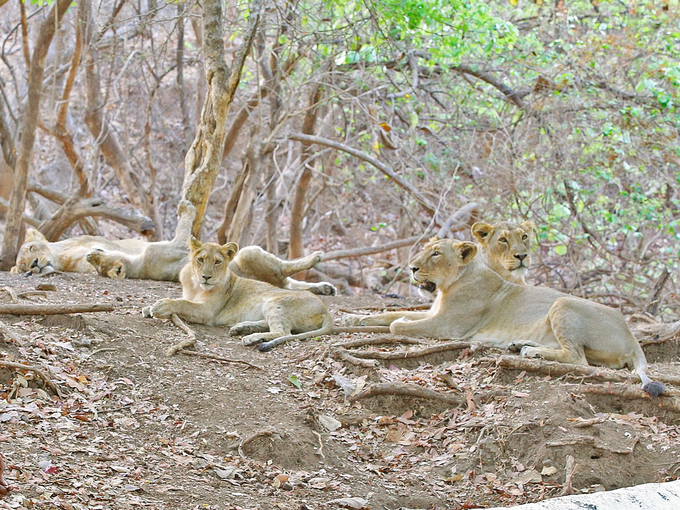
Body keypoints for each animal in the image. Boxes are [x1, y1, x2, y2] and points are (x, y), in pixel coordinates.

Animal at [145, 238, 334, 350]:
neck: (195, 284)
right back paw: (242, 328)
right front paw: (149, 307)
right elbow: (183, 299)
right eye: (200, 259)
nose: (206, 277)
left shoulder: (207, 311)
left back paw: (251, 338)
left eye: (217, 262)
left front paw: (161, 306)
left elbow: (183, 303)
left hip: (274, 301)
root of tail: (325, 309)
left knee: (283, 332)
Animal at [350, 237, 664, 396]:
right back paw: (522, 345)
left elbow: (397, 324)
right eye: (425, 250)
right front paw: (357, 319)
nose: (412, 268)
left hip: (563, 302)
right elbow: (390, 312)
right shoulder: (434, 312)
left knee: (578, 358)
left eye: (436, 254)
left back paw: (530, 352)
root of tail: (632, 337)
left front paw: (398, 323)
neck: (450, 284)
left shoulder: (447, 326)